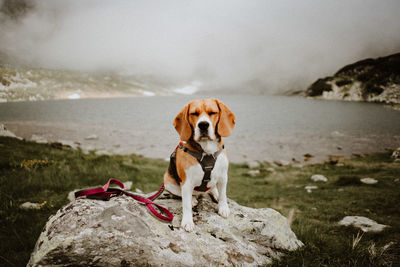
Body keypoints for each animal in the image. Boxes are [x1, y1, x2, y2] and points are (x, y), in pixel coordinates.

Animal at [164, 98, 236, 232]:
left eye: (212, 113)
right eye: (194, 114)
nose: (203, 124)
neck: (207, 152)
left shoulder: (223, 177)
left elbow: (223, 195)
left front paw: (223, 208)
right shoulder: (187, 182)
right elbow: (186, 205)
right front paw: (187, 221)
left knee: (212, 189)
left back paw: (215, 193)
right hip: (168, 183)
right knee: (183, 195)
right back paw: (193, 199)